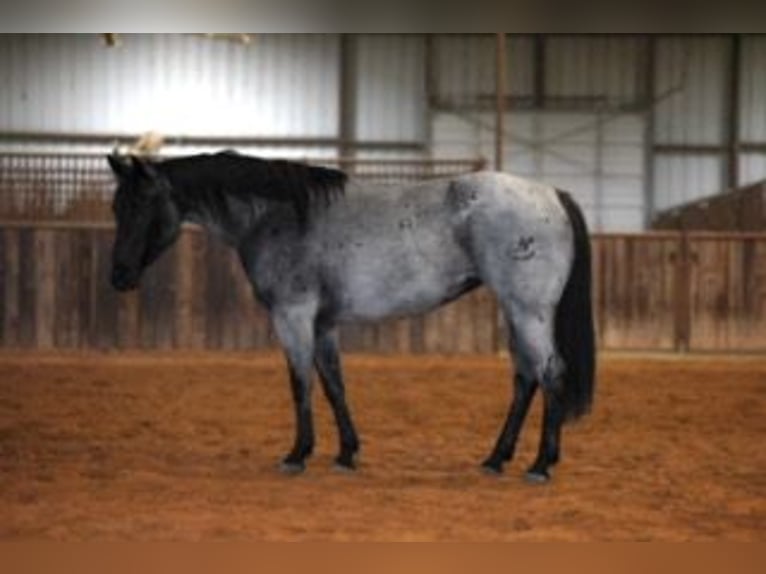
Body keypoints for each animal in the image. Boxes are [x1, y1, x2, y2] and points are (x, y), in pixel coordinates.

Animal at [106, 151, 595, 483]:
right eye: (116, 207)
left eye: (143, 204)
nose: (119, 276)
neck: (279, 214)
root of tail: (551, 194)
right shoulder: (323, 323)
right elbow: (333, 383)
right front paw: (346, 454)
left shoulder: (293, 316)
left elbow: (300, 382)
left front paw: (297, 454)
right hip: (517, 311)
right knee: (525, 377)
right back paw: (496, 459)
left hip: (528, 309)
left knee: (550, 373)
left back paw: (540, 465)